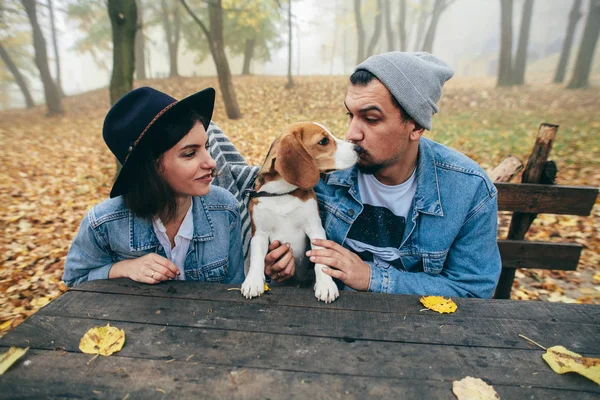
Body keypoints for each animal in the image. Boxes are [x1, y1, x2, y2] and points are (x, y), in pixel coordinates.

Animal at [241, 122, 358, 304]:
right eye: (324, 141)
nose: (358, 148)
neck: (282, 193)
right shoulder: (259, 233)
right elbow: (257, 257)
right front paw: (253, 282)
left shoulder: (315, 228)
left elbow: (320, 258)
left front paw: (325, 285)